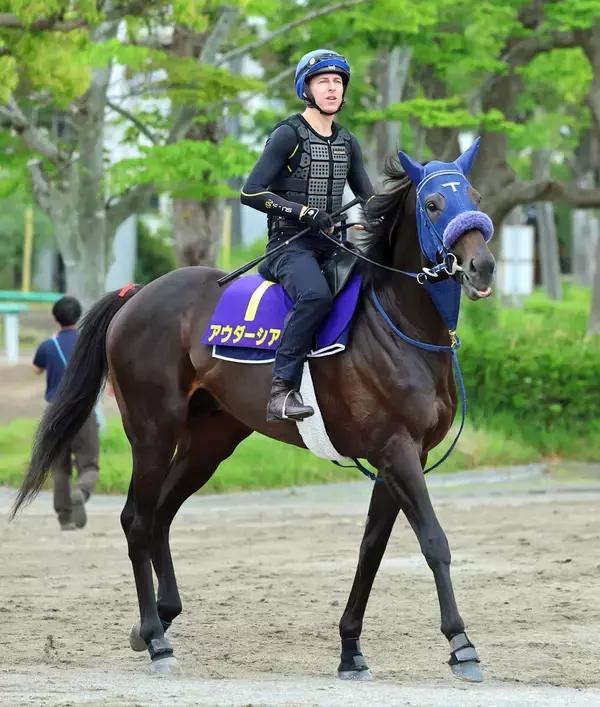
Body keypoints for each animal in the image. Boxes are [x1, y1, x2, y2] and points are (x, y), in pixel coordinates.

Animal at [11, 140, 496, 681]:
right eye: (432, 204)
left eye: (475, 196)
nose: (482, 266)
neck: (398, 324)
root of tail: (138, 295)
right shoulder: (397, 452)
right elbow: (433, 541)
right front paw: (461, 645)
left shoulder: (400, 458)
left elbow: (371, 549)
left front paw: (351, 648)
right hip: (153, 431)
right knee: (137, 520)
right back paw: (156, 639)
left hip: (208, 442)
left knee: (160, 516)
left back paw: (157, 618)